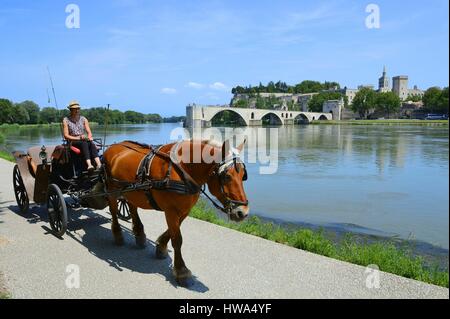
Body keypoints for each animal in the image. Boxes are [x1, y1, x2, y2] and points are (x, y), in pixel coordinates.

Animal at [102, 140, 250, 284]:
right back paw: (118, 234)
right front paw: (181, 270)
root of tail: (112, 146)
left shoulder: (184, 210)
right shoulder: (171, 210)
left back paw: (139, 233)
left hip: (131, 191)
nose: (243, 213)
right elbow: (177, 239)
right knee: (113, 209)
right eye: (227, 176)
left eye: (243, 175)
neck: (182, 170)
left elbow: (172, 232)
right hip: (112, 189)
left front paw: (161, 246)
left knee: (132, 207)